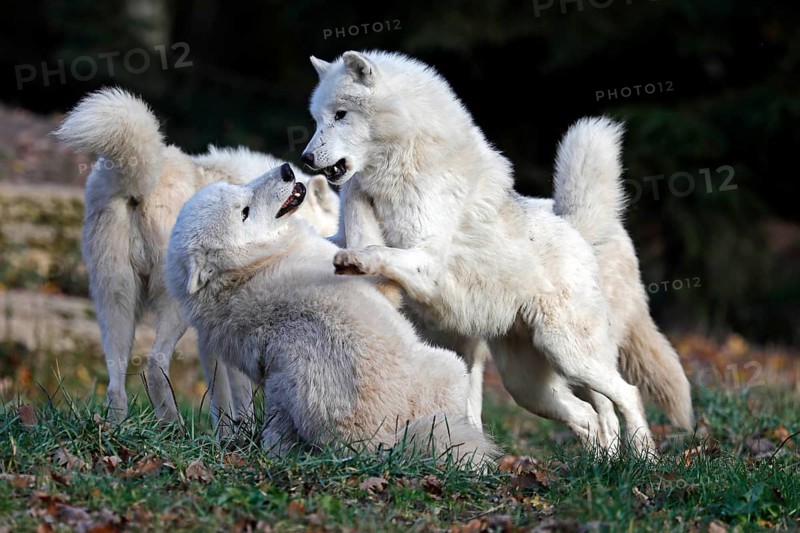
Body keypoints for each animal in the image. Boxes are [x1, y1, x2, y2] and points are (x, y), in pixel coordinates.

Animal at [54, 88, 339, 425]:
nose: (288, 171)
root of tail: (139, 183)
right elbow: (240, 392)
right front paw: (244, 428)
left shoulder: (211, 333)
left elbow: (220, 395)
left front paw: (227, 430)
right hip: (170, 308)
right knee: (155, 363)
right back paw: (171, 426)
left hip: (113, 300)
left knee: (115, 383)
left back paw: (117, 428)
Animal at [164, 163, 499, 467]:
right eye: (244, 212)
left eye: (241, 190)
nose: (287, 170)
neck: (253, 266)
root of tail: (378, 444)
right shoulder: (381, 289)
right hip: (451, 368)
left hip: (278, 389)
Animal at [300, 50, 694, 456]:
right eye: (317, 120)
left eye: (340, 115)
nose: (306, 158)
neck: (401, 171)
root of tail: (574, 229)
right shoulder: (354, 216)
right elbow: (342, 234)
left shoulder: (427, 263)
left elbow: (379, 249)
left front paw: (355, 260)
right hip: (529, 386)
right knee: (589, 415)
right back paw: (603, 462)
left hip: (571, 357)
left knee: (626, 396)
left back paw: (643, 458)